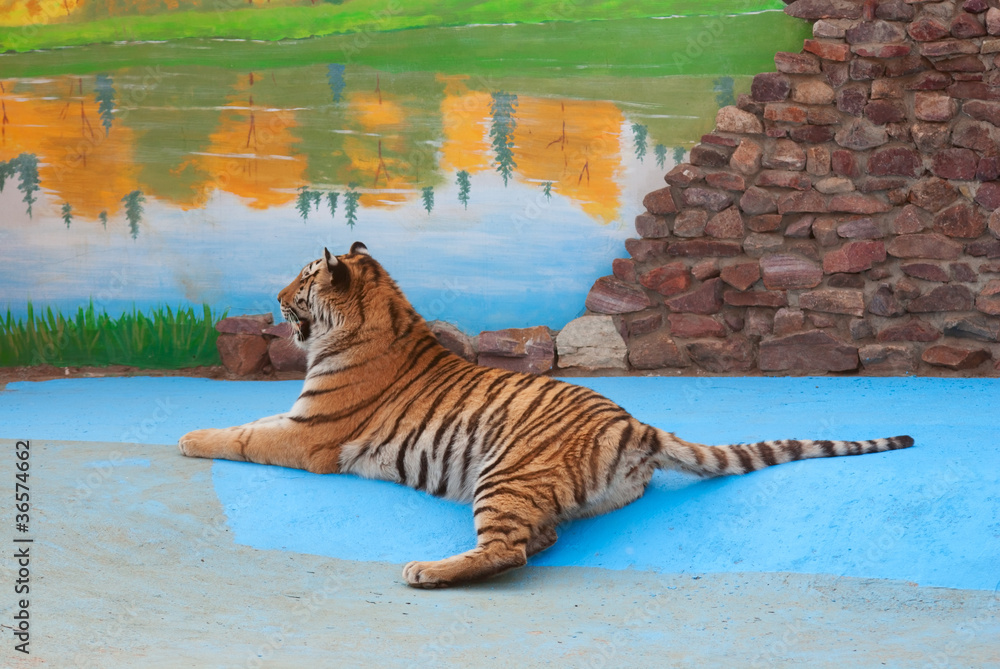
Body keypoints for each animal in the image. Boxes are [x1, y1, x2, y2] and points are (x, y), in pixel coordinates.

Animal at [178, 242, 914, 589]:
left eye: (301, 281)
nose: (275, 296)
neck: (379, 315)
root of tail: (636, 424)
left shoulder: (309, 436)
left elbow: (240, 435)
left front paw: (187, 436)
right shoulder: (302, 425)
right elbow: (247, 427)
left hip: (505, 471)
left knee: (506, 549)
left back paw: (427, 572)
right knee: (539, 539)